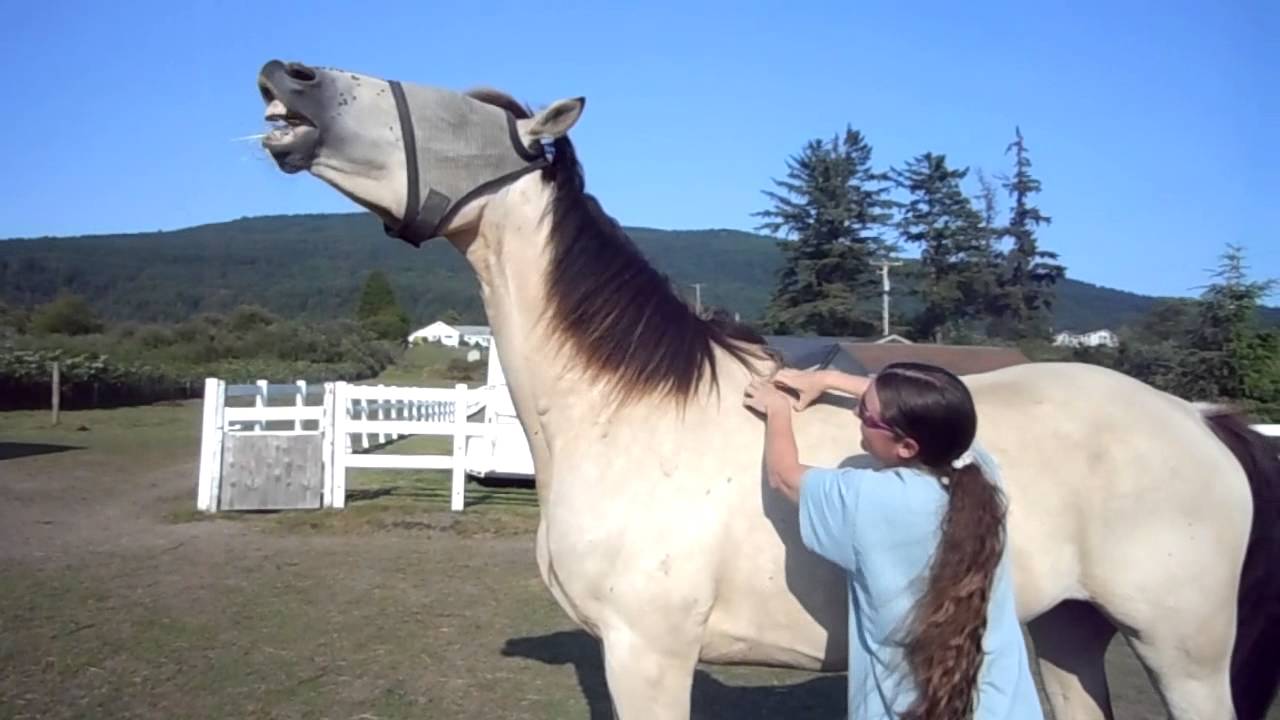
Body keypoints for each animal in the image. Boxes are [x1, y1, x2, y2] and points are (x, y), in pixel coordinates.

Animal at [253, 59, 1280, 719]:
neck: (627, 418)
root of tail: (1198, 419)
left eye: (455, 112)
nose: (285, 76)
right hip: (1070, 633)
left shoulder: (649, 656)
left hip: (1183, 655)